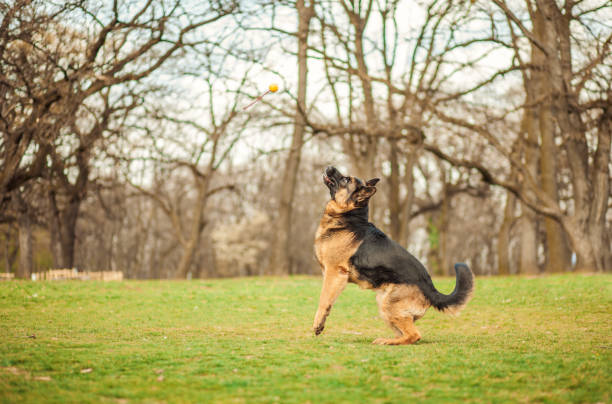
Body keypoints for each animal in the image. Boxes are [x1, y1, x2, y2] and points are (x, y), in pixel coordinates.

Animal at [314, 166, 476, 346]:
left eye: (346, 179)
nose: (330, 167)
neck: (349, 217)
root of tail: (431, 289)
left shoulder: (334, 273)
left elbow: (323, 300)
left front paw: (318, 324)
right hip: (384, 304)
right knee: (405, 334)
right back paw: (388, 340)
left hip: (388, 305)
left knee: (414, 335)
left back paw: (387, 342)